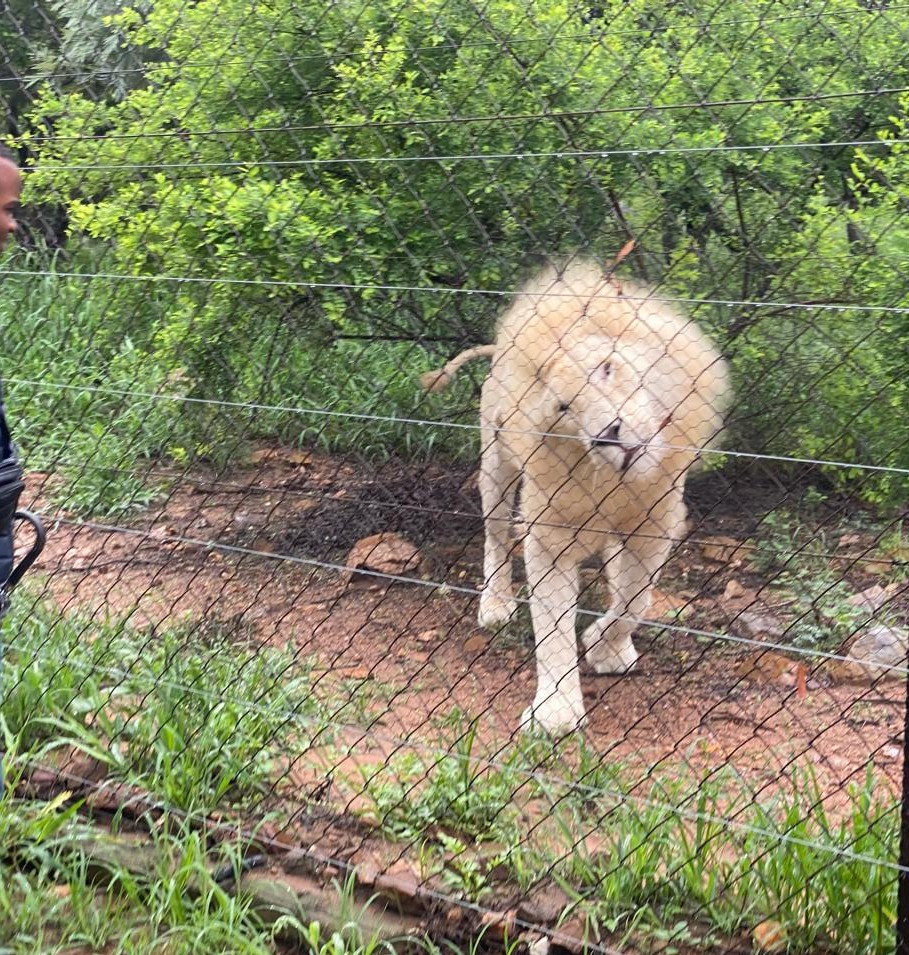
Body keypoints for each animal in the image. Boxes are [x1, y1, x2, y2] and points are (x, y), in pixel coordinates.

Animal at [422, 259, 731, 735]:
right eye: (564, 407)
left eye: (606, 368)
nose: (610, 435)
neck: (614, 483)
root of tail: (500, 350)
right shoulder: (550, 534)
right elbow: (552, 627)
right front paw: (554, 713)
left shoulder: (656, 522)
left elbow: (635, 599)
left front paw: (607, 648)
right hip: (496, 464)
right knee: (495, 537)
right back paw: (495, 603)